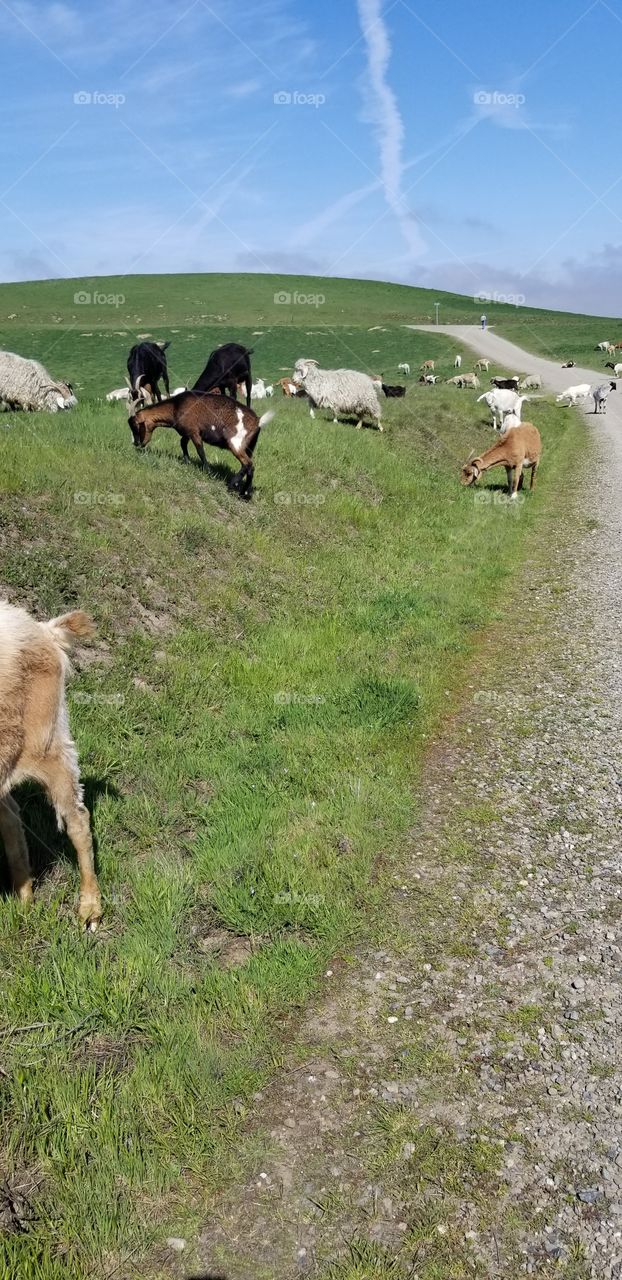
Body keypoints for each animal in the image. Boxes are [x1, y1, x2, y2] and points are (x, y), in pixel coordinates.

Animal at [0, 601, 101, 929]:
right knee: (11, 817)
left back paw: (90, 910)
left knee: (78, 819)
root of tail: (45, 629)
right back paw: (24, 901)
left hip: (49, 746)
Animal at [128, 392, 273, 497]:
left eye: (135, 426)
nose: (136, 443)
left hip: (235, 442)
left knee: (248, 464)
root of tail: (257, 421)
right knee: (249, 467)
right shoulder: (187, 432)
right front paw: (187, 461)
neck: (176, 406)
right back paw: (245, 493)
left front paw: (208, 472)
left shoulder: (194, 432)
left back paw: (233, 485)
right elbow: (182, 443)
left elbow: (200, 450)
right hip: (249, 446)